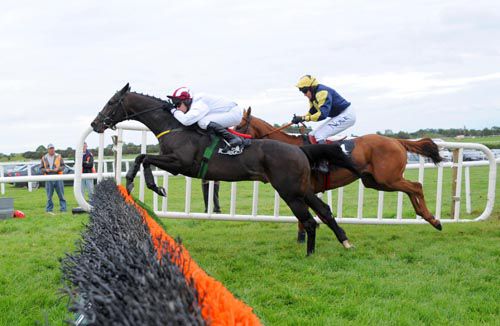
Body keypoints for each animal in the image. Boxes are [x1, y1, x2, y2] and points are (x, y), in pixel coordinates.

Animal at [91, 83, 364, 255]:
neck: (176, 127)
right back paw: (345, 242)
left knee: (308, 221)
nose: (95, 124)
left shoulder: (181, 164)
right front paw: (133, 182)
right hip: (302, 188)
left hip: (289, 191)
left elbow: (145, 158)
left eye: (112, 102)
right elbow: (142, 157)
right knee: (324, 212)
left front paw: (151, 186)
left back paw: (309, 255)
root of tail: (300, 150)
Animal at [236, 108, 444, 233]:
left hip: (388, 178)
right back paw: (427, 217)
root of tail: (397, 141)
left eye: (239, 125)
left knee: (416, 186)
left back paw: (434, 220)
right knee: (410, 189)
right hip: (376, 181)